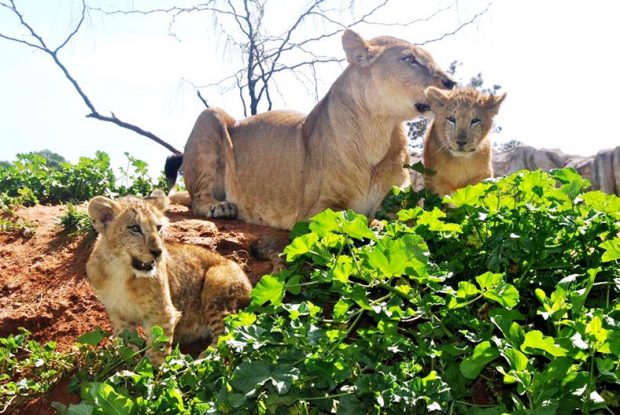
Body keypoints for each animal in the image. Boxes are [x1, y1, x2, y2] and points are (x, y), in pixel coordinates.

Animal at [166, 30, 456, 231]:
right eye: (410, 60)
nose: (451, 82)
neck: (378, 128)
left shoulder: (401, 200)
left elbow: (409, 217)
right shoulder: (314, 210)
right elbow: (349, 216)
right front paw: (372, 223)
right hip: (210, 115)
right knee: (197, 200)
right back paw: (221, 206)